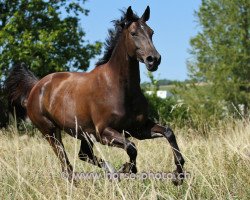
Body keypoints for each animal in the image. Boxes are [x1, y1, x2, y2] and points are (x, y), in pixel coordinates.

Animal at [5, 5, 185, 184]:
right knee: (66, 164)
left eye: (151, 32)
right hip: (51, 132)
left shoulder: (138, 129)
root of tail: (36, 86)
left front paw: (178, 175)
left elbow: (168, 133)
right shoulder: (104, 132)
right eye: (133, 33)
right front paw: (127, 169)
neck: (119, 88)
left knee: (84, 155)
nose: (153, 59)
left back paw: (112, 173)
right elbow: (131, 147)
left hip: (84, 134)